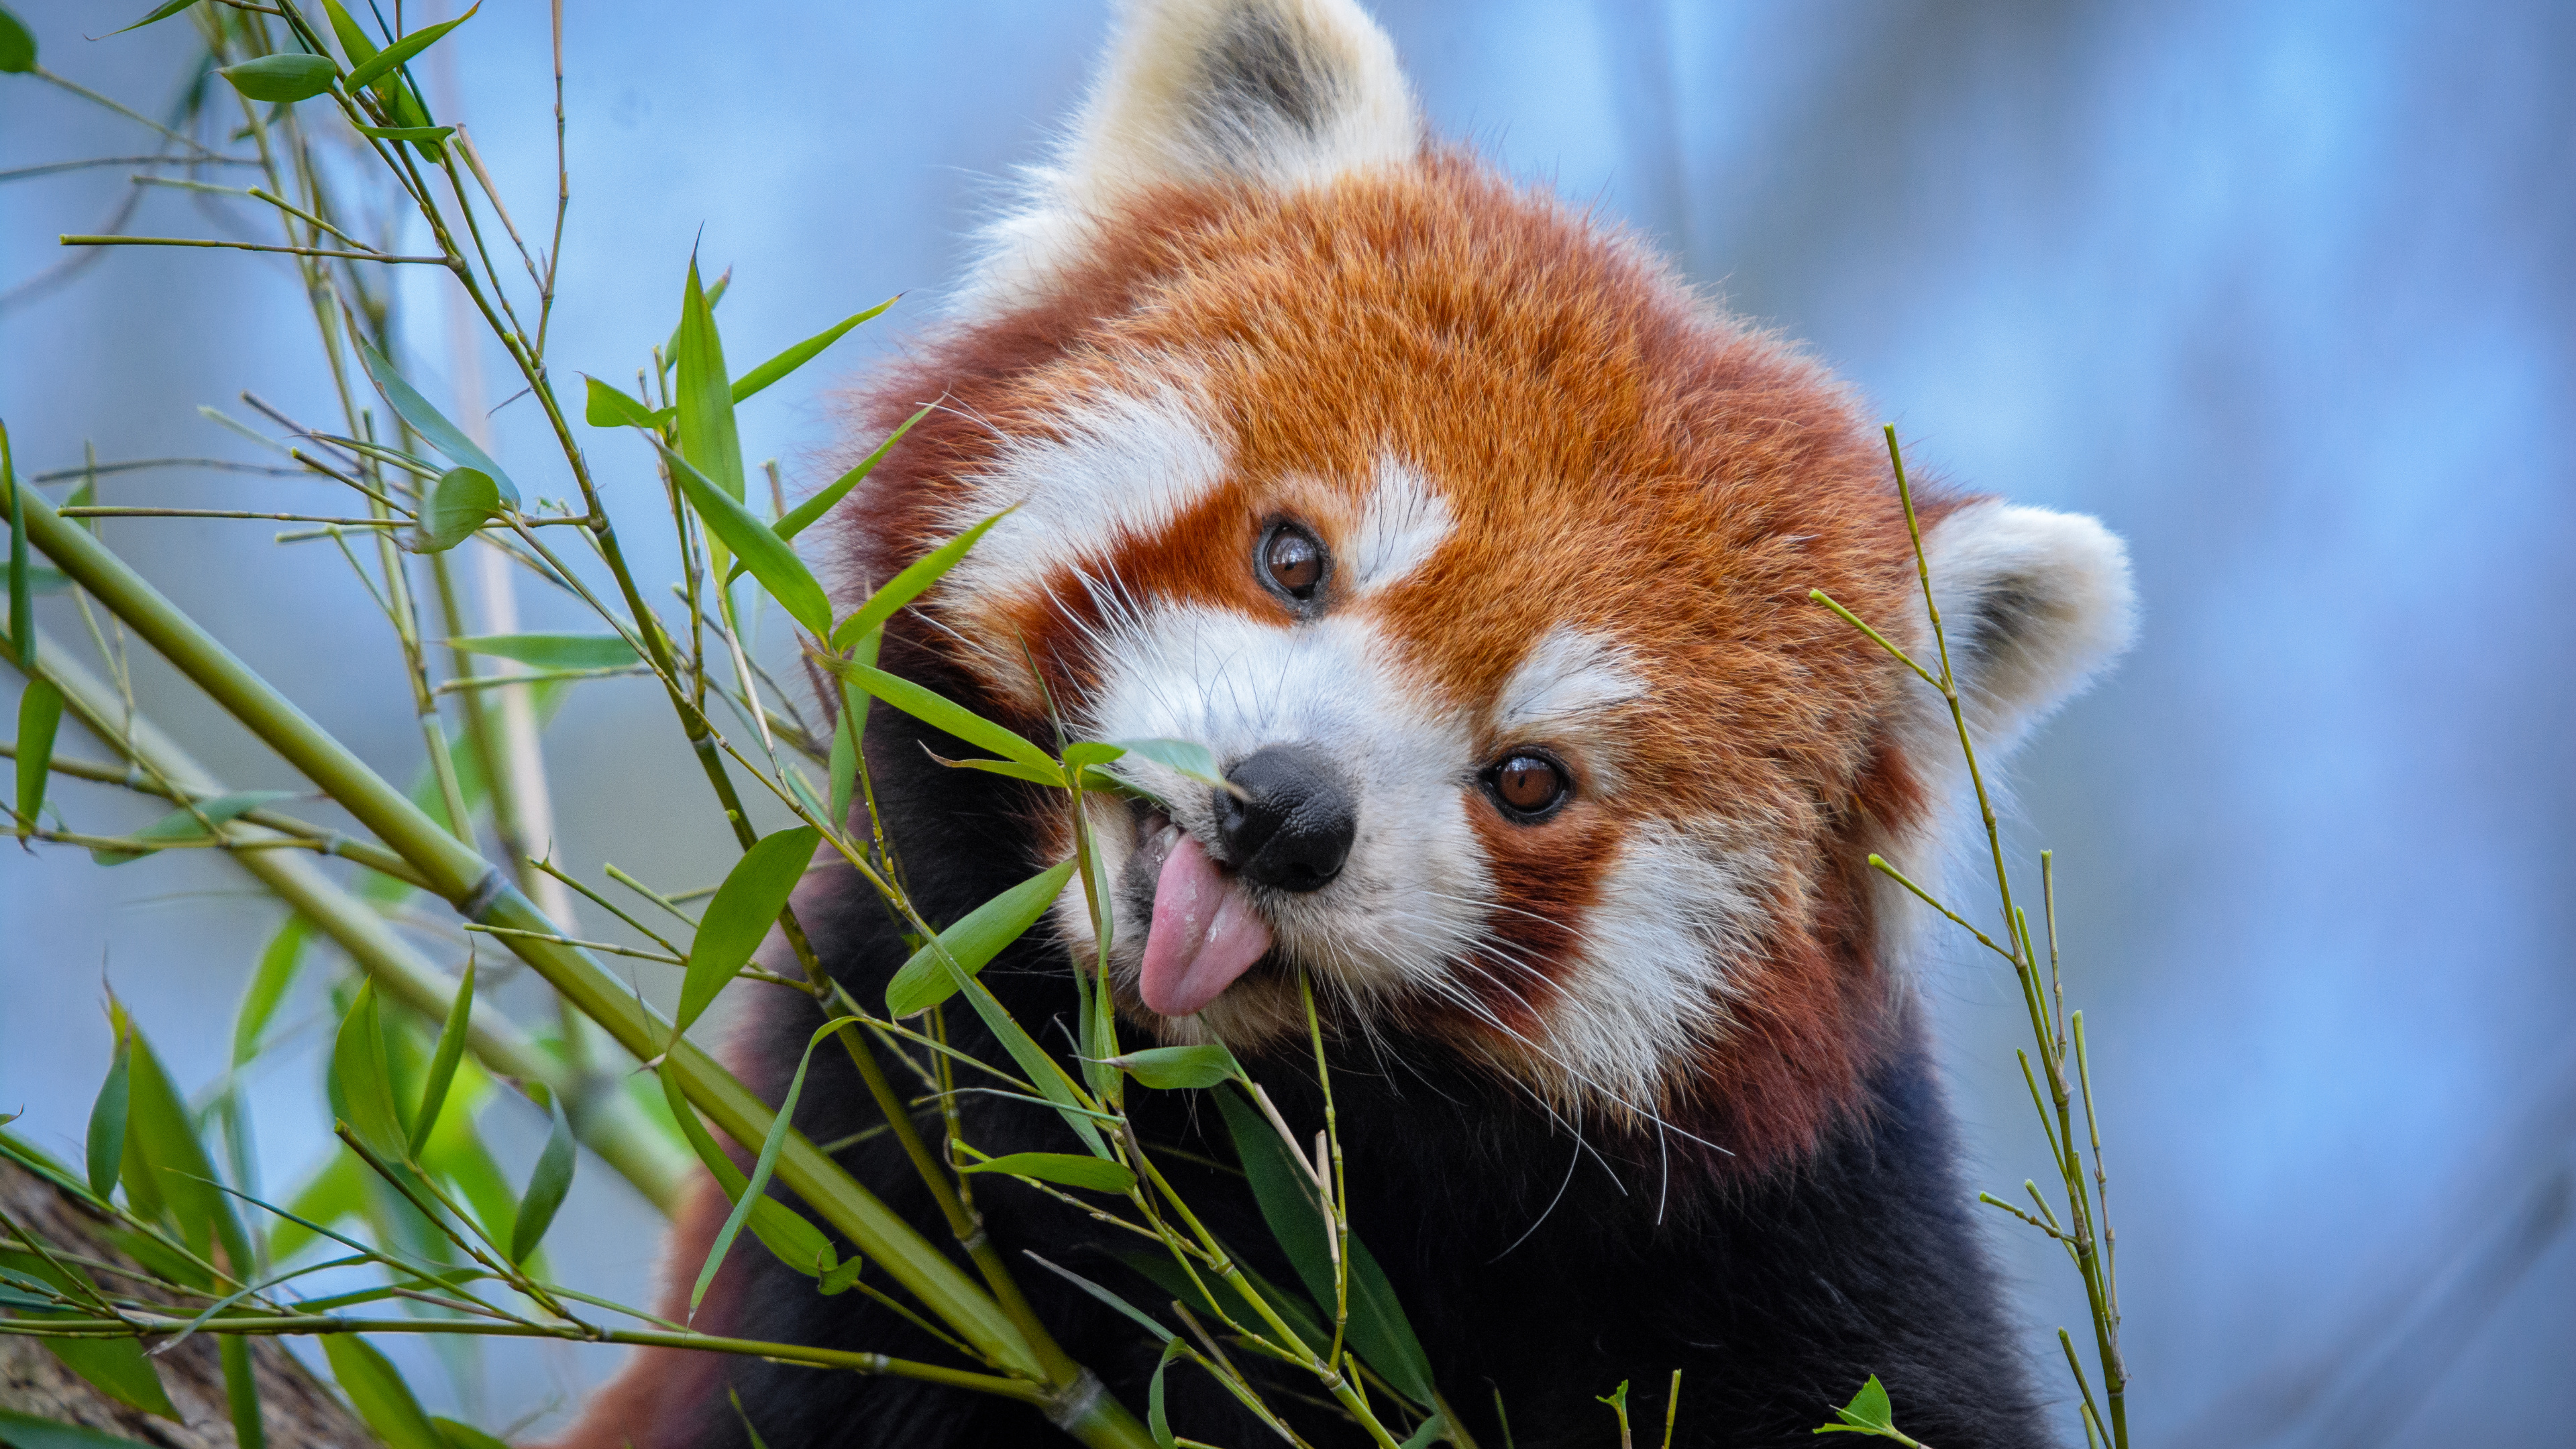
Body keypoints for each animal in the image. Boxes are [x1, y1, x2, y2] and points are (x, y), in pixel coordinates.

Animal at [564, 3, 2133, 1444]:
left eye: (1530, 778)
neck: (1206, 1121)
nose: (1287, 811)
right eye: (1293, 559)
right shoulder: (861, 1169)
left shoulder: (1809, 1258)